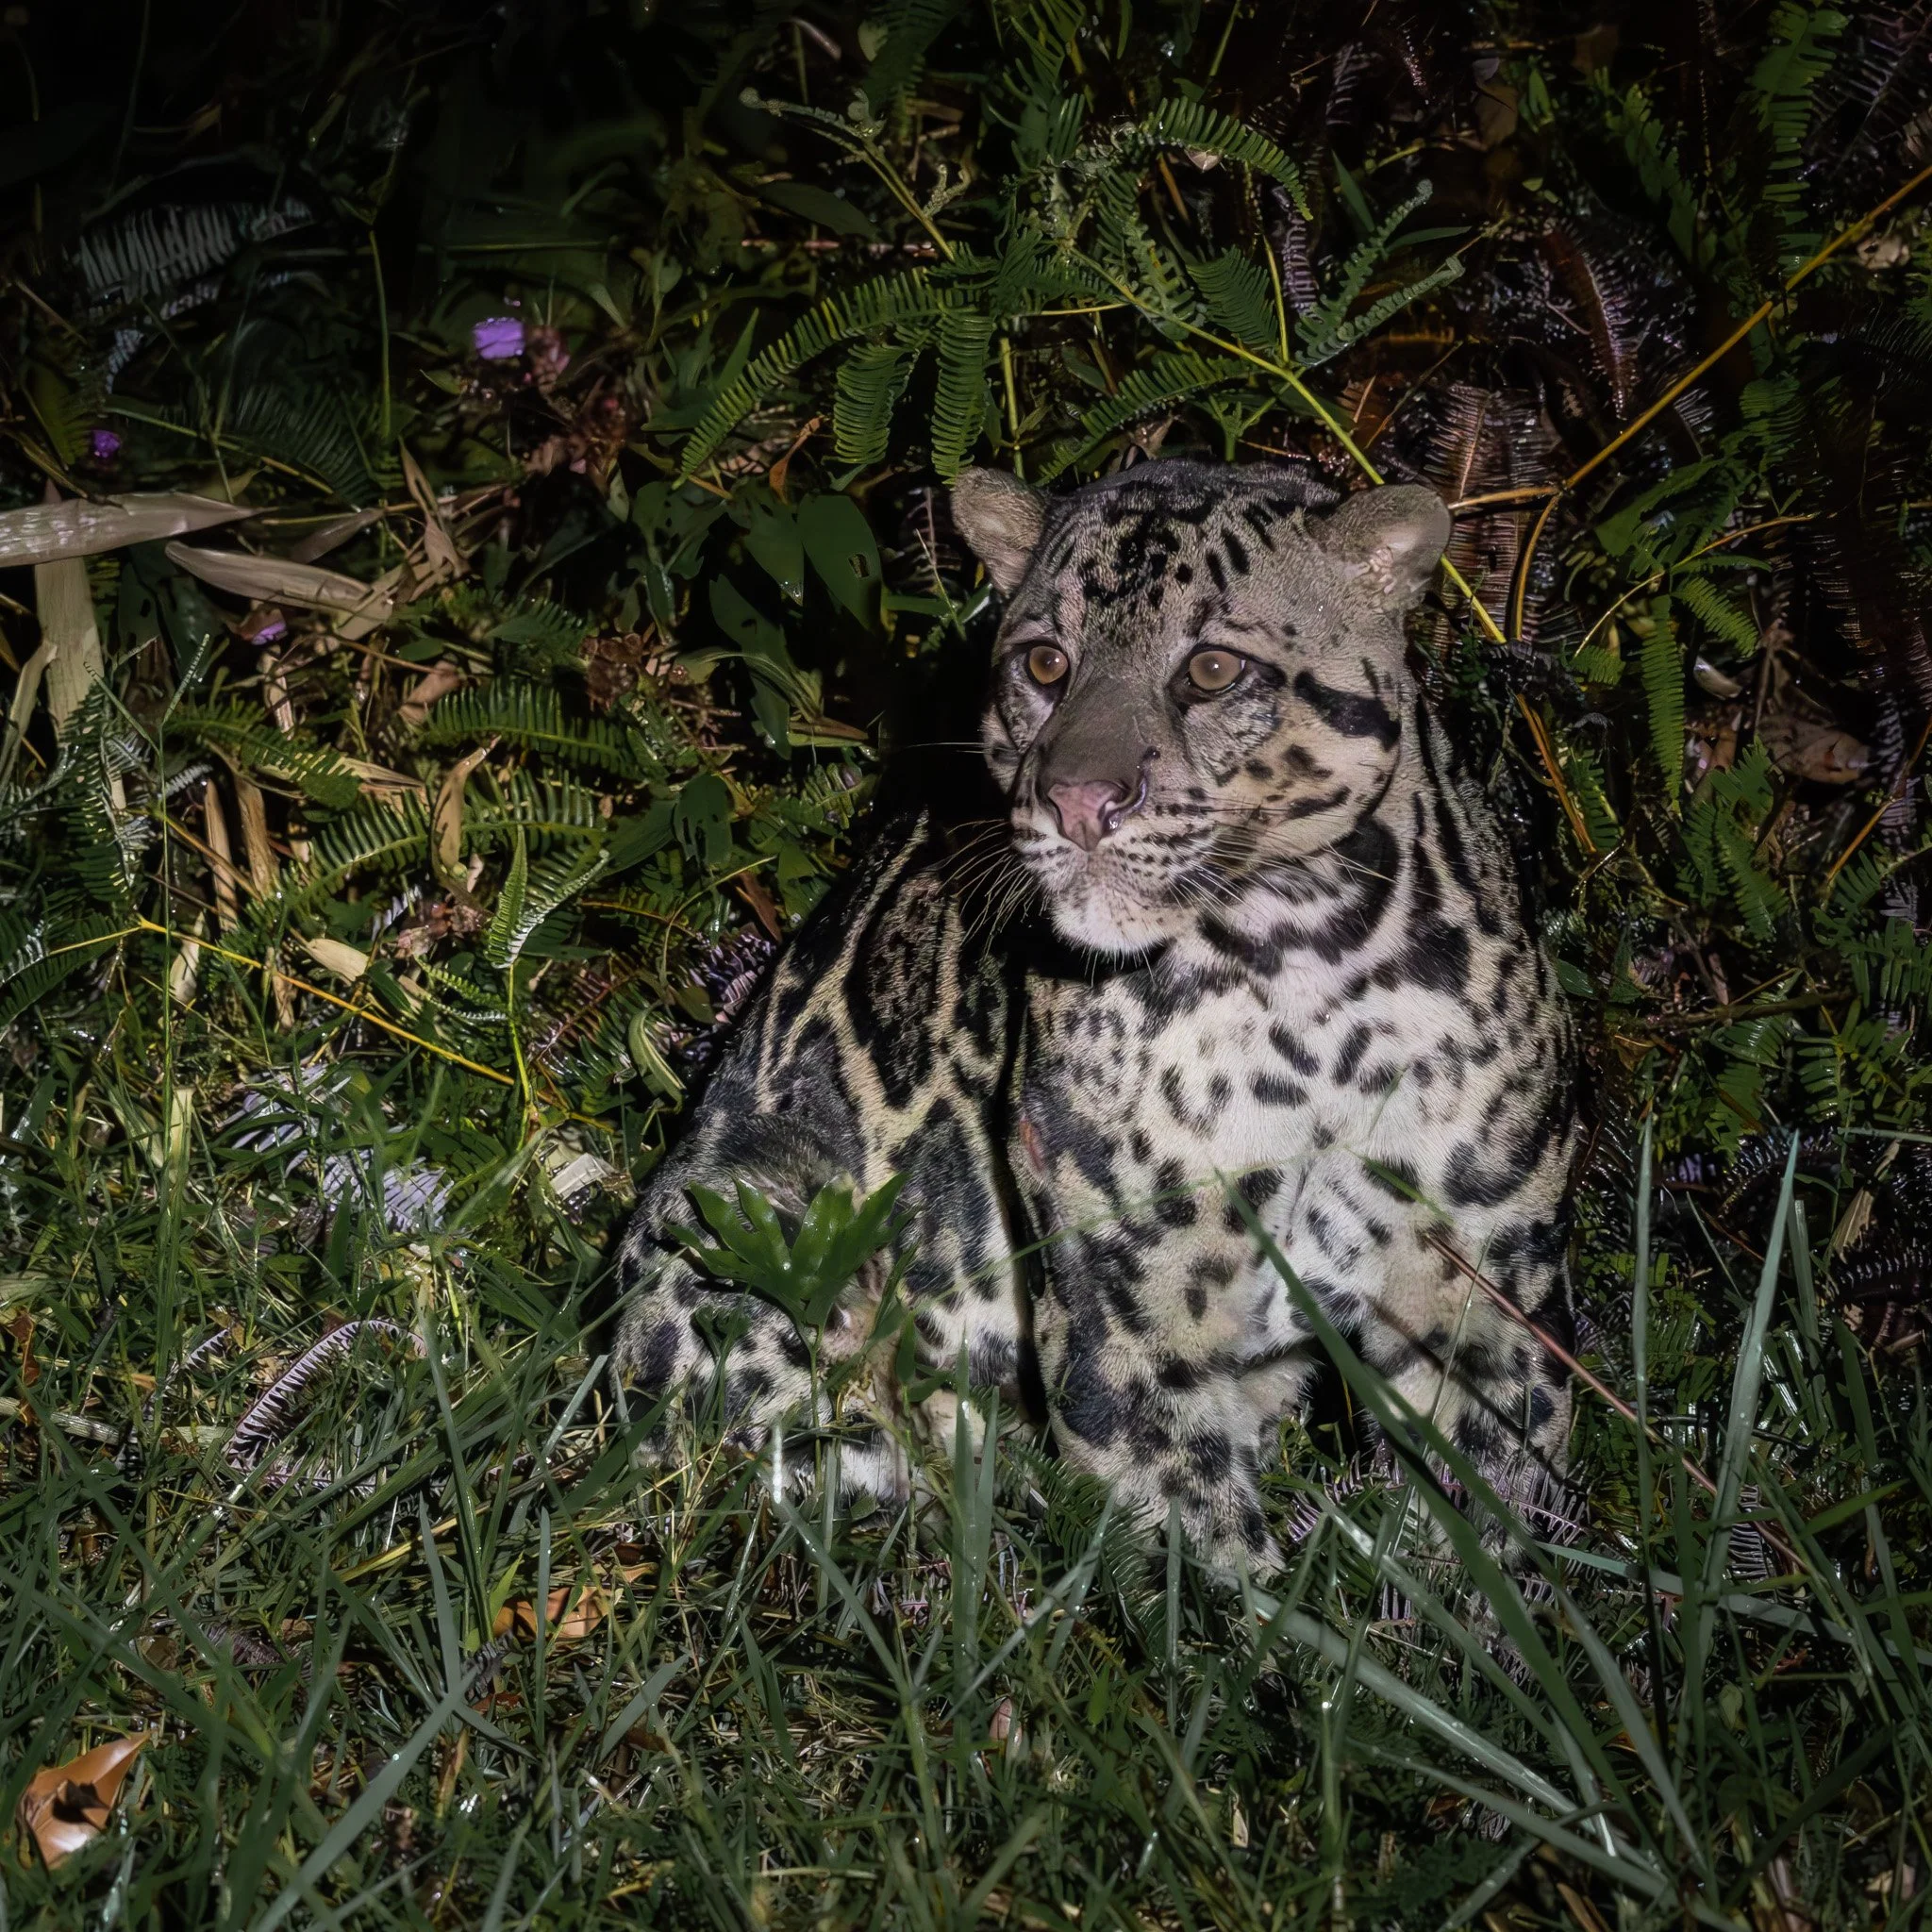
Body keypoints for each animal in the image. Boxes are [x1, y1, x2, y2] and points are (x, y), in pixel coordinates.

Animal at [609, 457, 1580, 1575]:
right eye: (1043, 662)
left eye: (1211, 669)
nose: (1077, 799)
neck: (1299, 969)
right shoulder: (1127, 1293)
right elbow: (1199, 1544)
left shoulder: (1487, 1269)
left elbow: (1485, 1512)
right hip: (752, 1223)